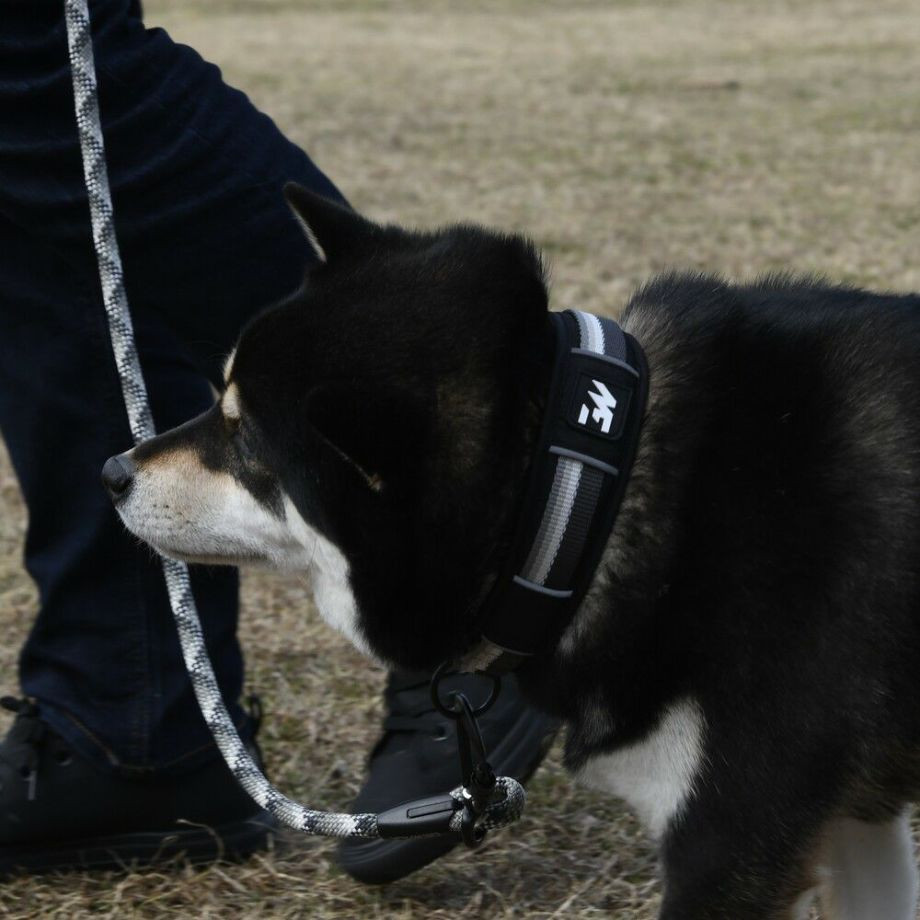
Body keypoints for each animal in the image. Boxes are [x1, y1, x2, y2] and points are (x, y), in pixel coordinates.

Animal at [104, 183, 916, 916]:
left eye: (244, 440)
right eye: (220, 398)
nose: (112, 471)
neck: (583, 490)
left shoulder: (730, 844)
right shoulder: (852, 821)